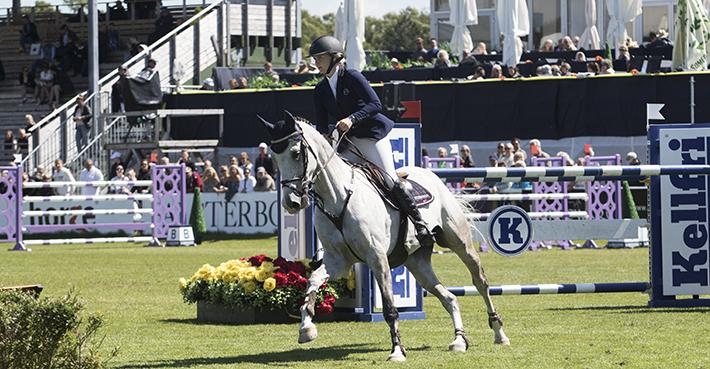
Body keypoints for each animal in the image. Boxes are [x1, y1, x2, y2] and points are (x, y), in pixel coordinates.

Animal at [262, 111, 512, 360]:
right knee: (449, 297)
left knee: (480, 282)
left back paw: (499, 333)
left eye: (295, 153)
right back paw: (459, 340)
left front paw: (397, 351)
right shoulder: (337, 261)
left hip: (459, 242)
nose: (291, 203)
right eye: (274, 158)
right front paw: (306, 329)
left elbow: (391, 309)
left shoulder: (377, 258)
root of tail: (430, 174)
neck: (337, 197)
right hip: (417, 262)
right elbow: (312, 282)